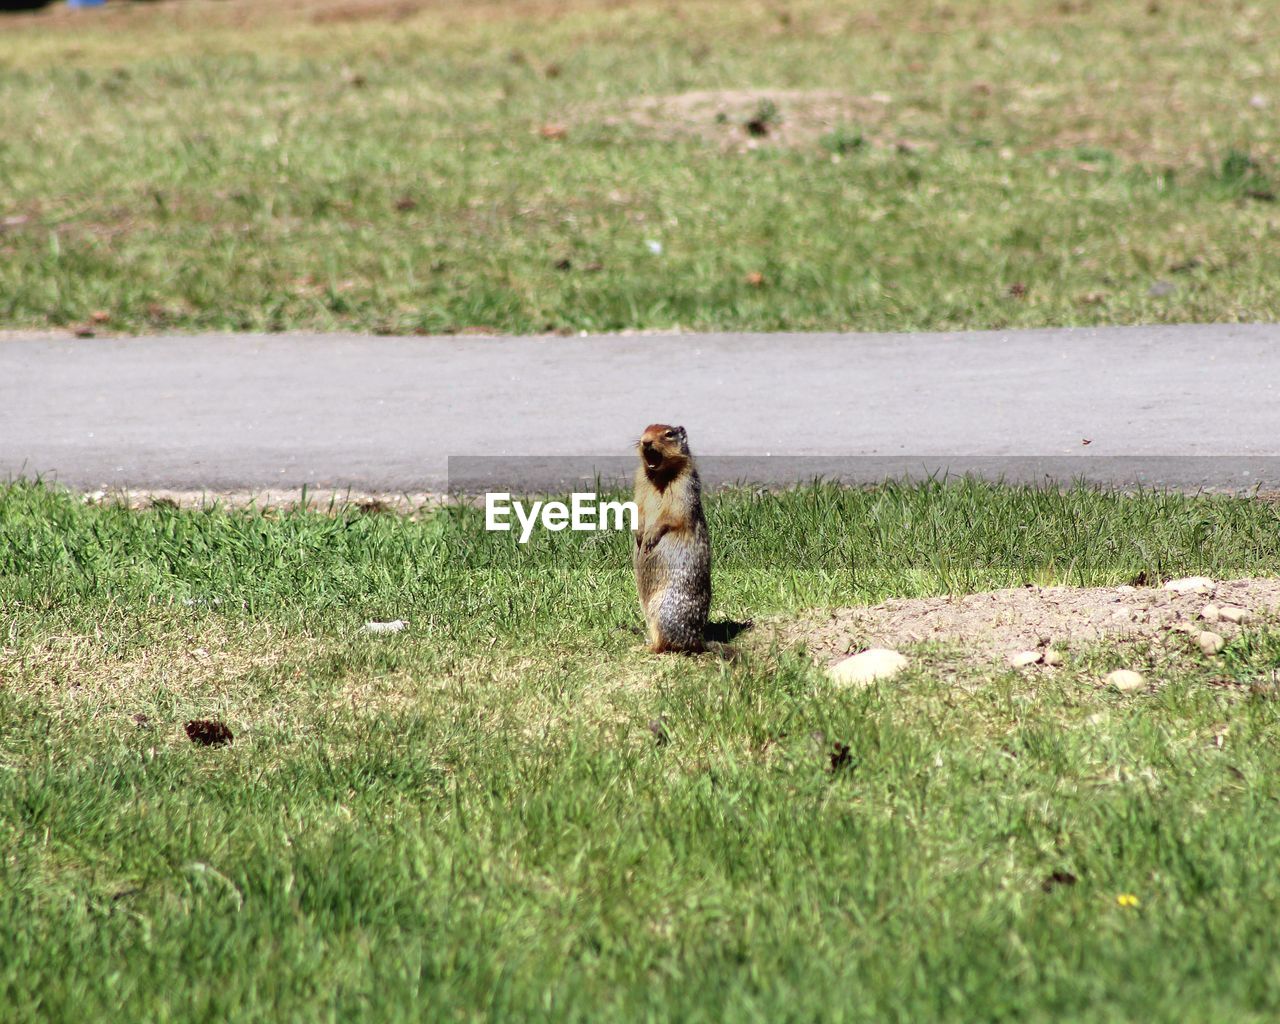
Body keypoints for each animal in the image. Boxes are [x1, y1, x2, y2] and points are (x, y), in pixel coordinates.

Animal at [634, 422, 716, 647]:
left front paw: (650, 536)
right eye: (645, 429)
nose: (645, 441)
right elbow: (637, 508)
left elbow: (673, 514)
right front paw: (638, 533)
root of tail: (698, 640)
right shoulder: (639, 485)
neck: (658, 476)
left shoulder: (685, 486)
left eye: (669, 434)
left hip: (662, 609)